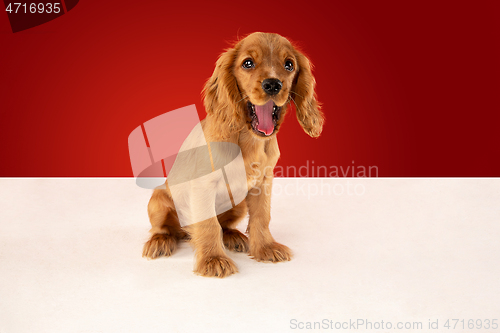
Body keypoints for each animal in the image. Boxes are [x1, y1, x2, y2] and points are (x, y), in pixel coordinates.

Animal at [143, 31, 322, 274]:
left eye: (289, 65)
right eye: (248, 63)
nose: (273, 85)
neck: (249, 140)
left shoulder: (263, 182)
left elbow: (261, 216)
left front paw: (265, 248)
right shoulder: (203, 185)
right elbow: (208, 225)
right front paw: (213, 260)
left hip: (238, 205)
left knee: (223, 225)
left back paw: (233, 236)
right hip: (158, 201)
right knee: (163, 228)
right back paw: (160, 241)